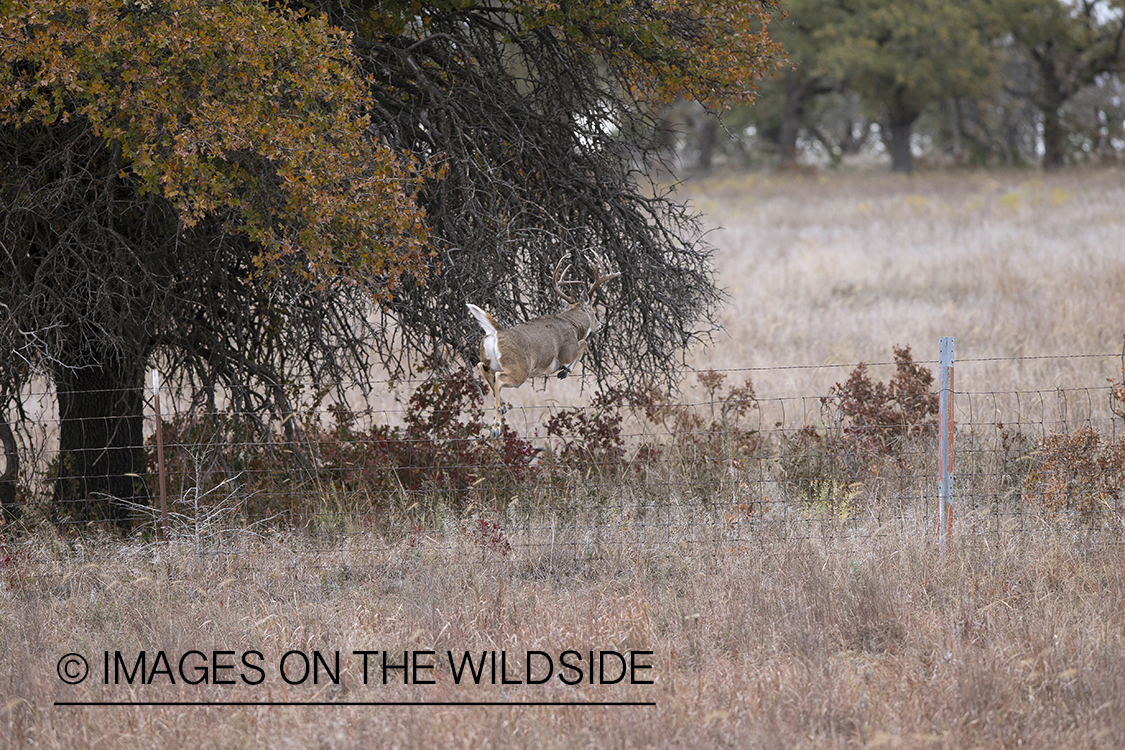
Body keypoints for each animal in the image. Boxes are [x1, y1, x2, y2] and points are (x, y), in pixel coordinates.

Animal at [468, 255, 621, 436]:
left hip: (491, 360)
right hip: (520, 369)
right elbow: (584, 344)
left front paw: (565, 371)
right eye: (594, 311)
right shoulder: (567, 350)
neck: (573, 324)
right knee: (499, 377)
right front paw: (565, 370)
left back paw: (503, 407)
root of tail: (497, 331)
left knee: (482, 366)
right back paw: (496, 428)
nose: (599, 323)